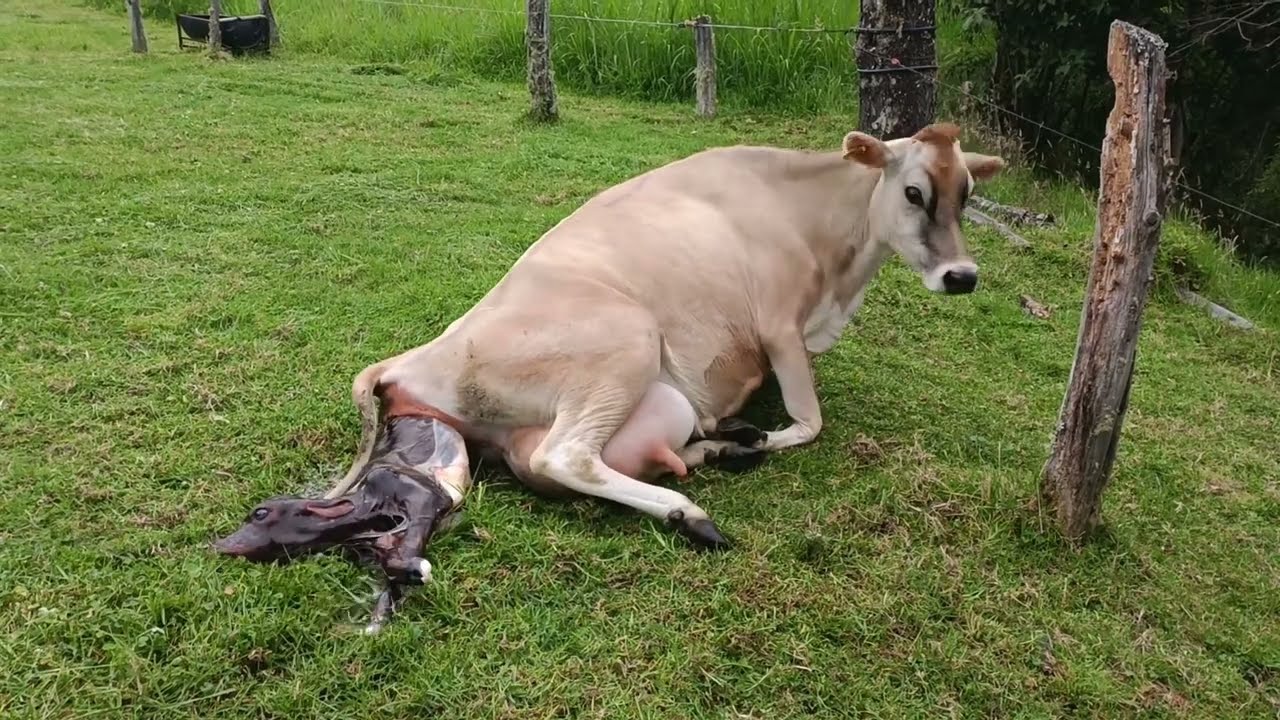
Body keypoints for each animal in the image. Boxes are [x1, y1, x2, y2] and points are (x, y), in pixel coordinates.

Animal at [318, 122, 1003, 549]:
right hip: (630, 342)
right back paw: (696, 507)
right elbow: (809, 423)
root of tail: (412, 358)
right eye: (913, 192)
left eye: (968, 195)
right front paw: (767, 433)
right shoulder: (779, 327)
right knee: (564, 457)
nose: (962, 276)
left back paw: (723, 448)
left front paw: (742, 436)